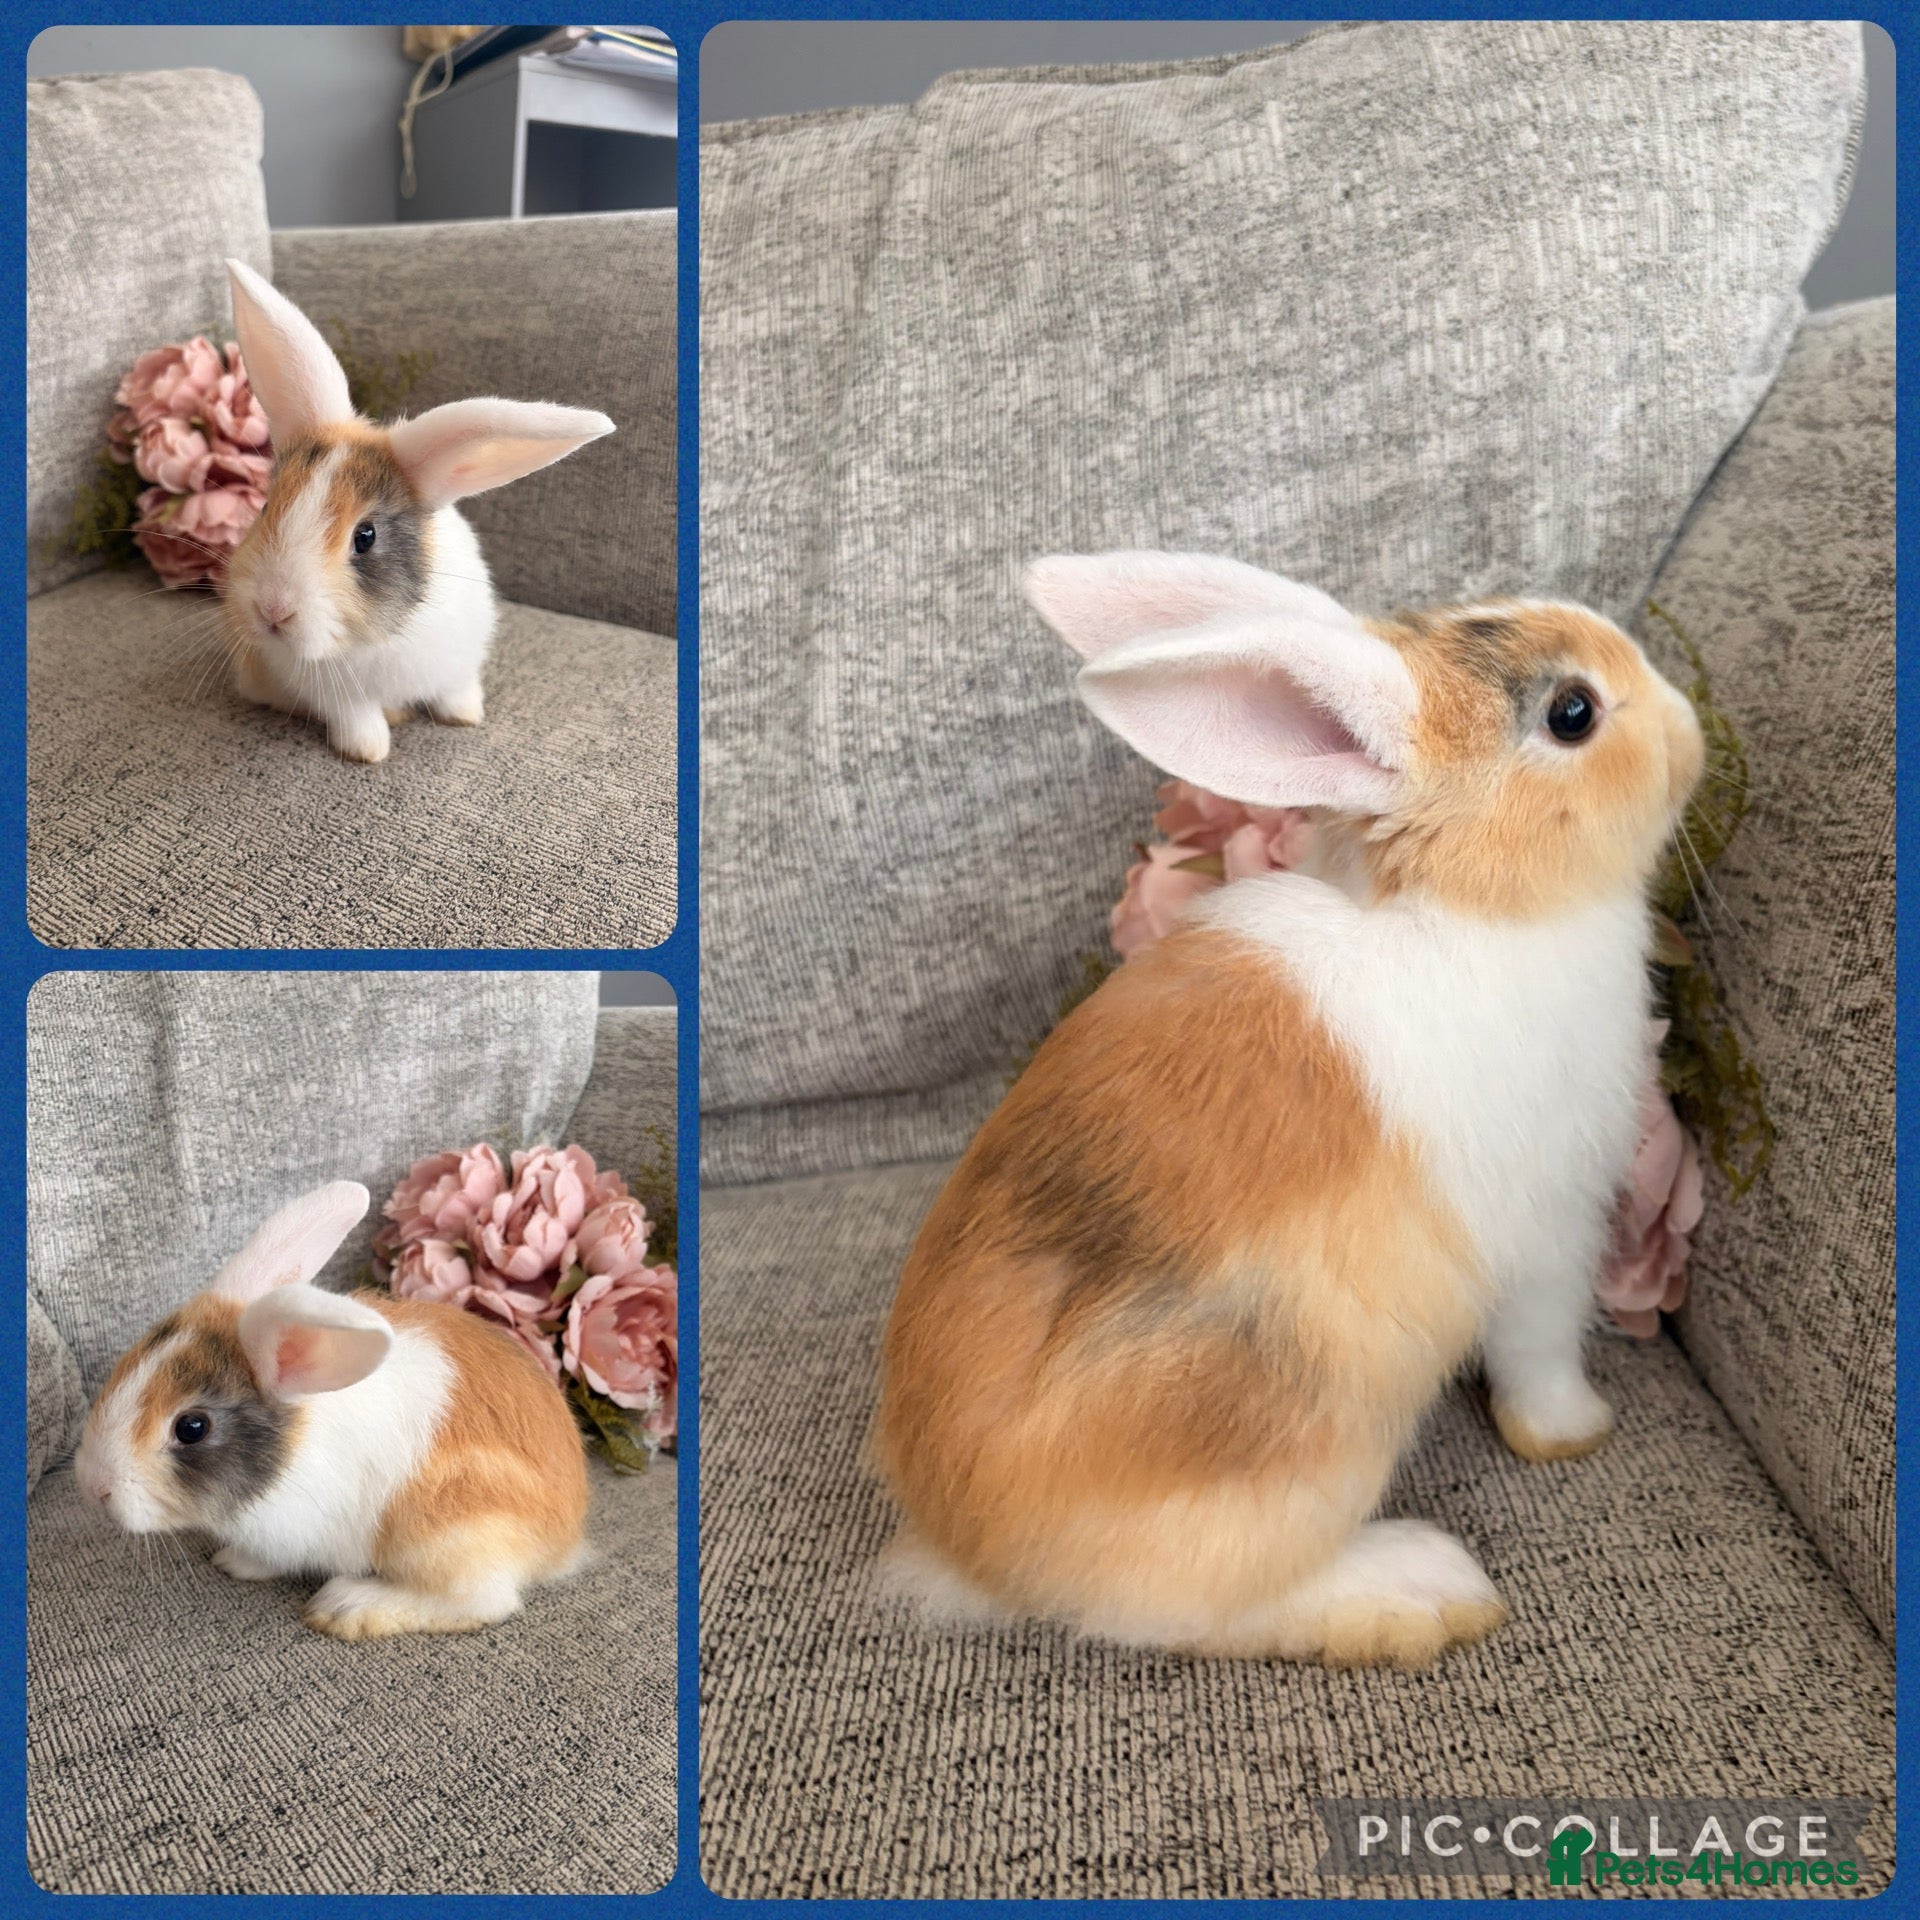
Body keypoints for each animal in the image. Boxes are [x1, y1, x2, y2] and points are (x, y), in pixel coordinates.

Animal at [73, 1179, 588, 1640]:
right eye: (128, 1361)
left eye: (192, 1427)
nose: (94, 1486)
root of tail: (563, 1538)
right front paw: (232, 1560)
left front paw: (238, 1563)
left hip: (450, 1532)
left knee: (484, 1601)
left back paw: (349, 1607)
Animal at [218, 259, 613, 763]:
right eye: (266, 506)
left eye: (365, 536)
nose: (272, 610)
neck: (379, 637)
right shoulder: (339, 697)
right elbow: (359, 719)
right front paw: (368, 750)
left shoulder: (459, 662)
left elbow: (455, 692)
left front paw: (466, 716)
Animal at [875, 551, 1705, 1667]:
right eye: (1572, 713)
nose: (1689, 724)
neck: (1466, 903)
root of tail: (965, 1552)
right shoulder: (1551, 1236)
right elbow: (1539, 1353)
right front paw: (1574, 1431)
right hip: (1301, 1442)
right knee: (1185, 1610)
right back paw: (1417, 1590)